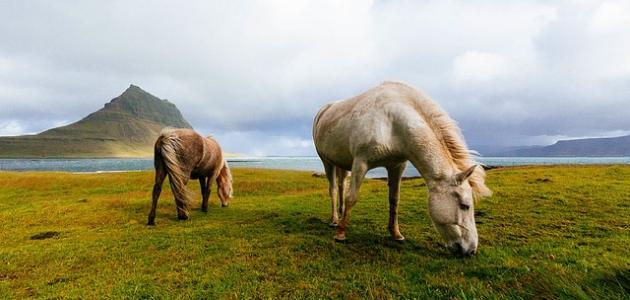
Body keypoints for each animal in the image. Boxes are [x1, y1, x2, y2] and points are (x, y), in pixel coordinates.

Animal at [314, 81, 494, 255]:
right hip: (327, 161)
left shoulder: (397, 166)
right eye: (465, 206)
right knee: (334, 189)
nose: (471, 250)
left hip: (342, 164)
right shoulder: (360, 163)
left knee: (341, 185)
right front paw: (341, 235)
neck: (391, 122)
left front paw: (396, 234)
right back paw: (335, 221)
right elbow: (352, 197)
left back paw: (340, 215)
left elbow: (394, 200)